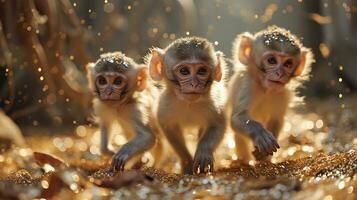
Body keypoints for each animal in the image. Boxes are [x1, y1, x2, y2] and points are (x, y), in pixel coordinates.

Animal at [147, 36, 225, 174]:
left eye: (202, 71)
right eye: (184, 71)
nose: (194, 84)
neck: (189, 103)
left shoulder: (216, 104)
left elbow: (218, 125)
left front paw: (203, 153)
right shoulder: (165, 105)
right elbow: (169, 127)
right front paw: (187, 162)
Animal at [227, 26, 312, 162]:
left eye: (288, 64)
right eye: (272, 60)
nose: (280, 73)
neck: (265, 89)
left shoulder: (282, 94)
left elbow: (276, 119)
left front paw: (264, 155)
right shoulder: (248, 85)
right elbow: (237, 118)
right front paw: (260, 133)